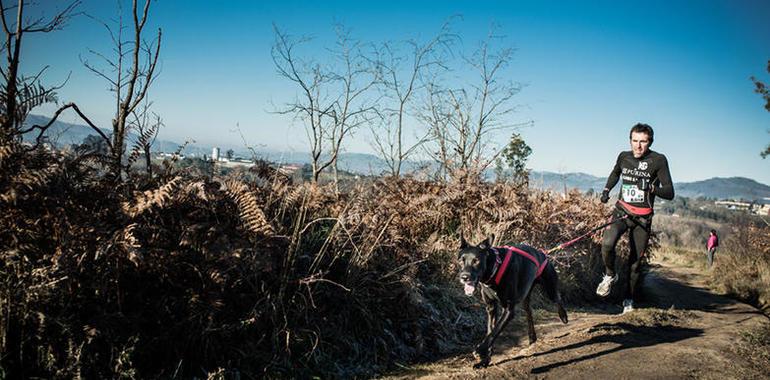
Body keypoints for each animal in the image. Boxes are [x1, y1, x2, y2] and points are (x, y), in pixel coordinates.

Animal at [456, 236, 564, 366]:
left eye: (476, 261)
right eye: (461, 261)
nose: (464, 277)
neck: (495, 267)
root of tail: (542, 253)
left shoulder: (508, 309)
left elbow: (495, 331)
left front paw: (480, 350)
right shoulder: (491, 307)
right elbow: (490, 330)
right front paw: (485, 360)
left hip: (550, 288)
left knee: (558, 297)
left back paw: (563, 316)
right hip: (526, 295)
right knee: (529, 312)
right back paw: (532, 337)